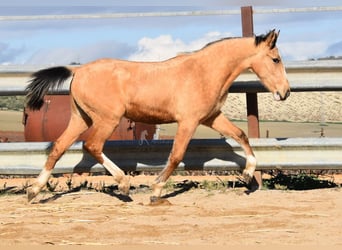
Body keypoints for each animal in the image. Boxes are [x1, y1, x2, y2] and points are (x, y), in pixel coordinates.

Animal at [25, 29, 290, 203]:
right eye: (275, 59)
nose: (285, 92)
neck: (204, 72)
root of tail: (78, 71)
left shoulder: (211, 117)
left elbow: (241, 134)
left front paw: (247, 173)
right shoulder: (189, 121)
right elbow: (176, 156)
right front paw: (156, 189)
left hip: (80, 118)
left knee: (58, 147)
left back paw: (33, 191)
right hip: (106, 119)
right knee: (92, 145)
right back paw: (124, 185)